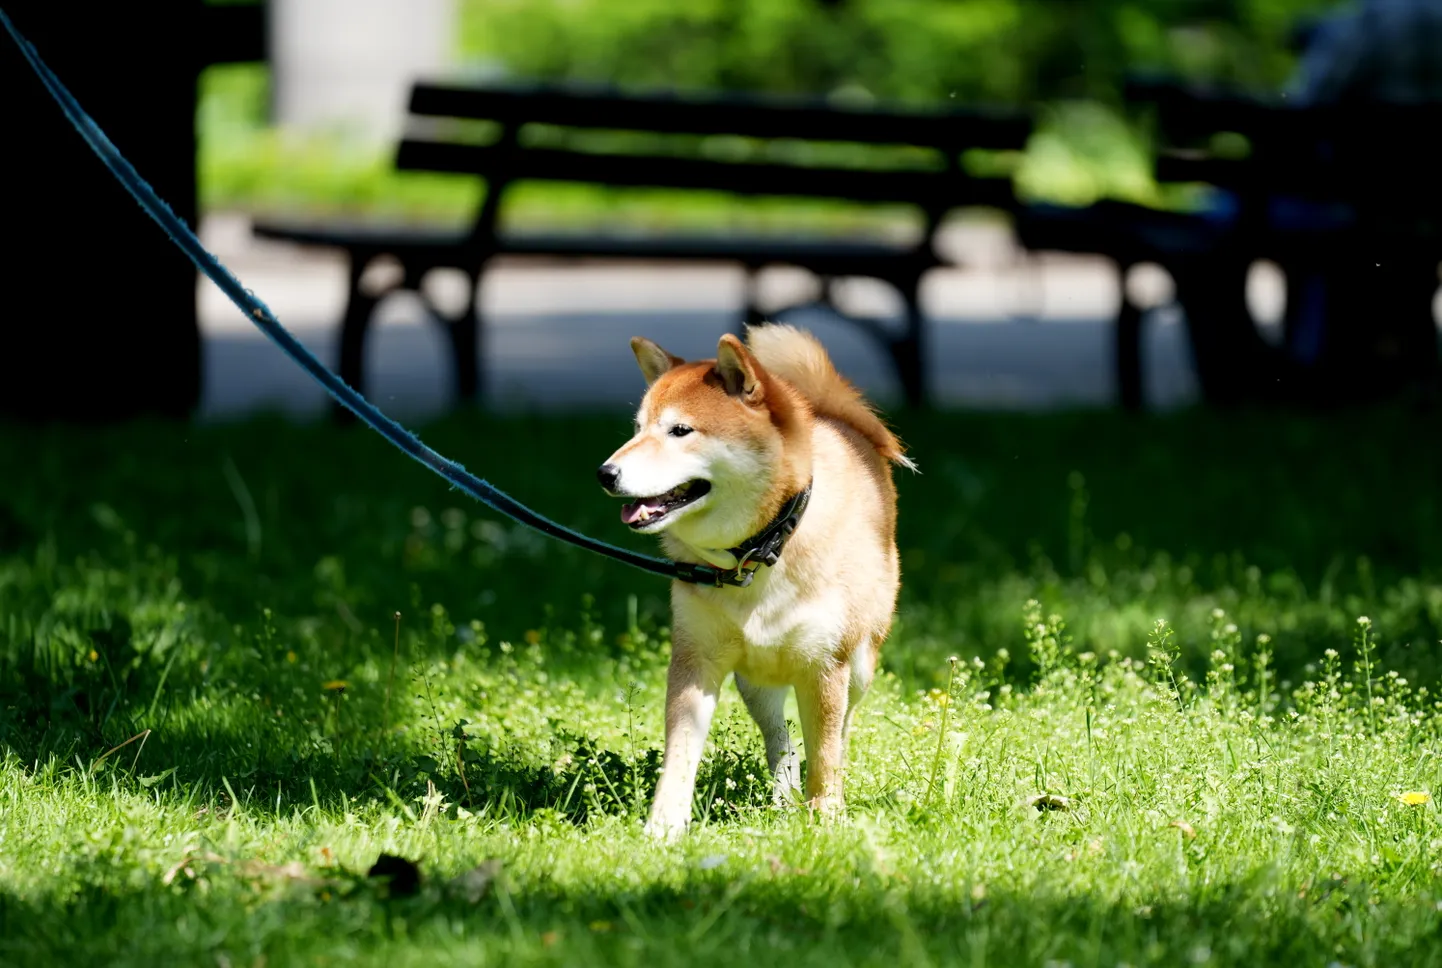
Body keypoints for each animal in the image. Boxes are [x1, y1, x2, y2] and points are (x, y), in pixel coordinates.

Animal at [596, 321, 911, 836]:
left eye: (680, 430)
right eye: (638, 430)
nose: (606, 473)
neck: (759, 553)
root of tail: (835, 418)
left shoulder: (827, 666)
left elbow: (826, 753)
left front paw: (825, 817)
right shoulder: (695, 660)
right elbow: (681, 753)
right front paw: (663, 827)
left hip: (860, 664)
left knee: (839, 730)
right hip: (755, 681)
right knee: (780, 743)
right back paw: (782, 799)